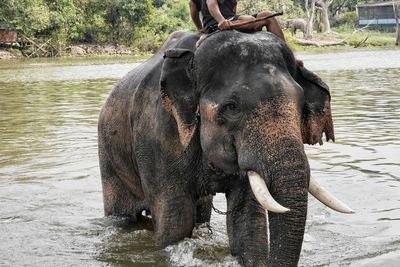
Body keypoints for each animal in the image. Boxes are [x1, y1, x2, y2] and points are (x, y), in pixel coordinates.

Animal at [97, 30, 354, 266]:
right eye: (232, 107)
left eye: (301, 105)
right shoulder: (158, 138)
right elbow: (175, 222)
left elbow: (247, 223)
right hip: (108, 157)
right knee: (123, 215)